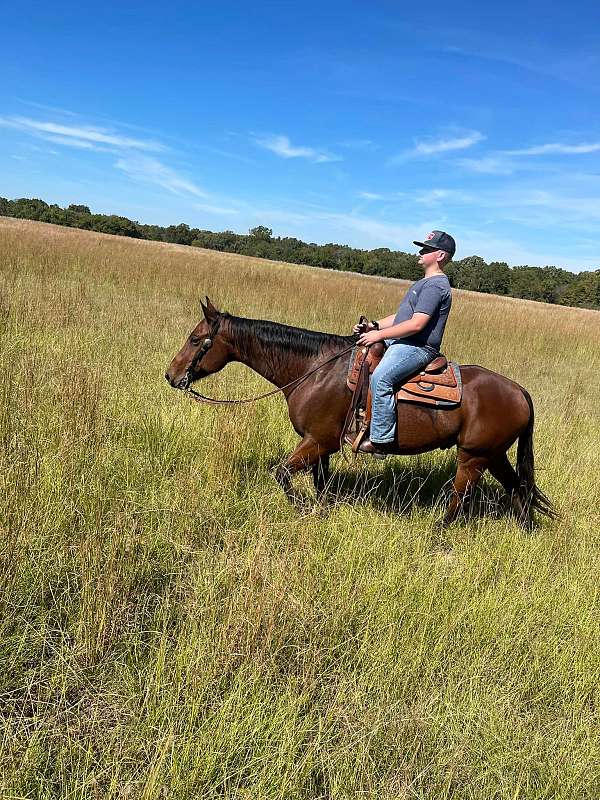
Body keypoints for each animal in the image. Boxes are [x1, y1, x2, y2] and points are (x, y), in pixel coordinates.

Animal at [165, 296, 556, 528]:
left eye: (197, 339)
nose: (171, 375)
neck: (315, 368)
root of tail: (520, 391)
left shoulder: (318, 441)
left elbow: (282, 475)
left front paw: (303, 509)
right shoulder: (320, 445)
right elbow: (321, 485)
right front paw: (320, 513)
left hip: (473, 456)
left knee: (460, 498)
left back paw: (437, 538)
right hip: (493, 454)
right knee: (519, 491)